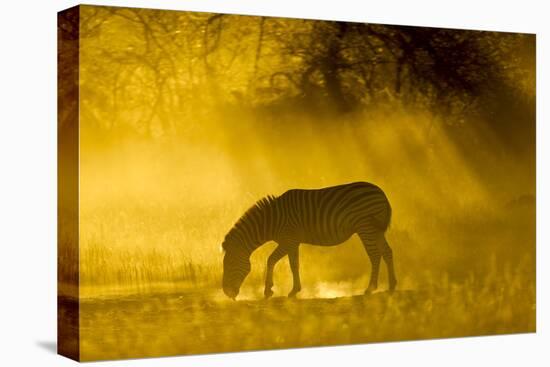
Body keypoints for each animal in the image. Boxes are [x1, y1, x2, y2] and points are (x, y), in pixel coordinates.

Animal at [222, 181, 398, 300]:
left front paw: (268, 291)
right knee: (387, 252)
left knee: (375, 255)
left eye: (230, 264)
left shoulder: (288, 240)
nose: (226, 293)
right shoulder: (292, 242)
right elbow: (294, 264)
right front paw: (294, 290)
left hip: (365, 226)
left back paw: (370, 288)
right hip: (375, 229)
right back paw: (392, 286)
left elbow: (272, 260)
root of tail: (381, 192)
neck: (272, 220)